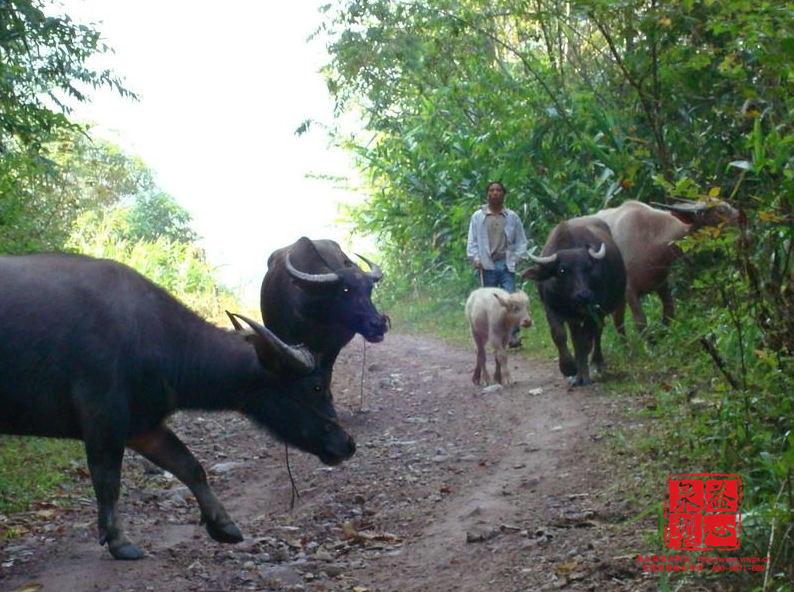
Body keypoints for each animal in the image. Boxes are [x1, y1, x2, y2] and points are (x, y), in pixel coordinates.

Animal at [0, 253, 352, 560]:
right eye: (317, 387)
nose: (347, 444)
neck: (155, 336)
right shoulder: (103, 419)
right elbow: (108, 482)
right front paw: (119, 541)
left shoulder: (142, 426)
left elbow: (189, 465)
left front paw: (223, 525)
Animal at [260, 236, 390, 380]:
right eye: (345, 289)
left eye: (369, 289)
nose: (379, 324)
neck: (318, 316)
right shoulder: (290, 342)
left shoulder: (333, 347)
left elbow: (325, 374)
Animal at [524, 217, 628, 388]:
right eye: (562, 270)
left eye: (588, 268)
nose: (584, 296)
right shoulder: (551, 308)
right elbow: (559, 335)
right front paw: (569, 368)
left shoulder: (594, 310)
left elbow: (585, 342)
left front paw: (583, 376)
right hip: (574, 318)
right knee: (575, 337)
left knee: (597, 334)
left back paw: (596, 364)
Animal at [592, 200, 744, 336]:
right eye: (721, 210)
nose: (741, 217)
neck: (651, 238)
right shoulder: (630, 291)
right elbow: (641, 322)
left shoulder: (661, 283)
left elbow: (669, 311)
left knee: (617, 322)